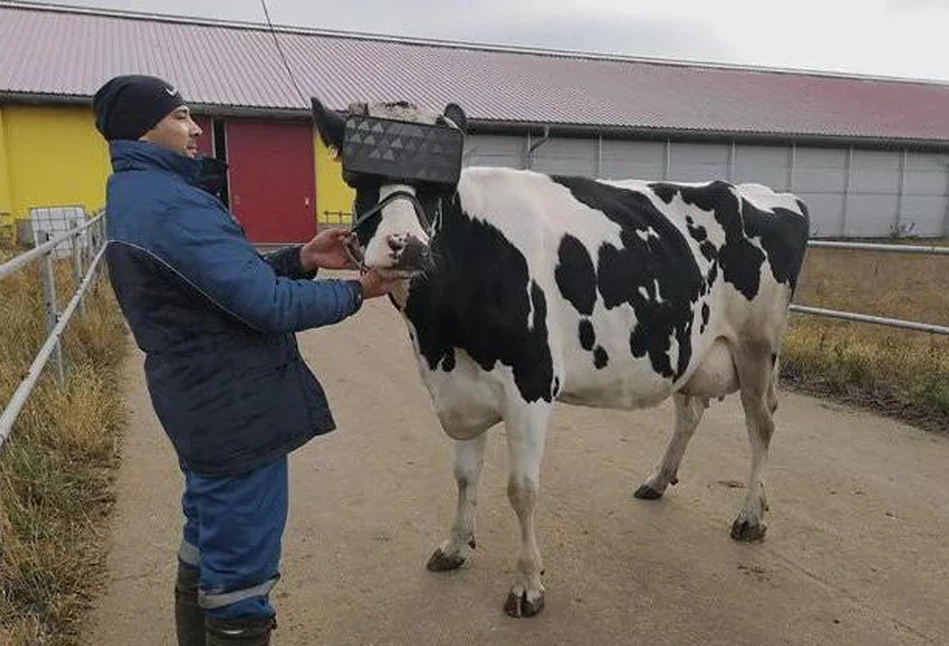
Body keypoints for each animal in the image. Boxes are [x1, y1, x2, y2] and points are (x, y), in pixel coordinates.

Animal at [310, 98, 808, 620]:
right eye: (359, 180)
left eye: (436, 188)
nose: (406, 245)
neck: (439, 336)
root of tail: (765, 193)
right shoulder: (459, 387)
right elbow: (465, 476)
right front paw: (455, 546)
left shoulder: (530, 385)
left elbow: (522, 490)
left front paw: (528, 584)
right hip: (690, 345)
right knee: (690, 411)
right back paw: (657, 480)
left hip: (758, 346)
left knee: (761, 424)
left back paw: (750, 516)